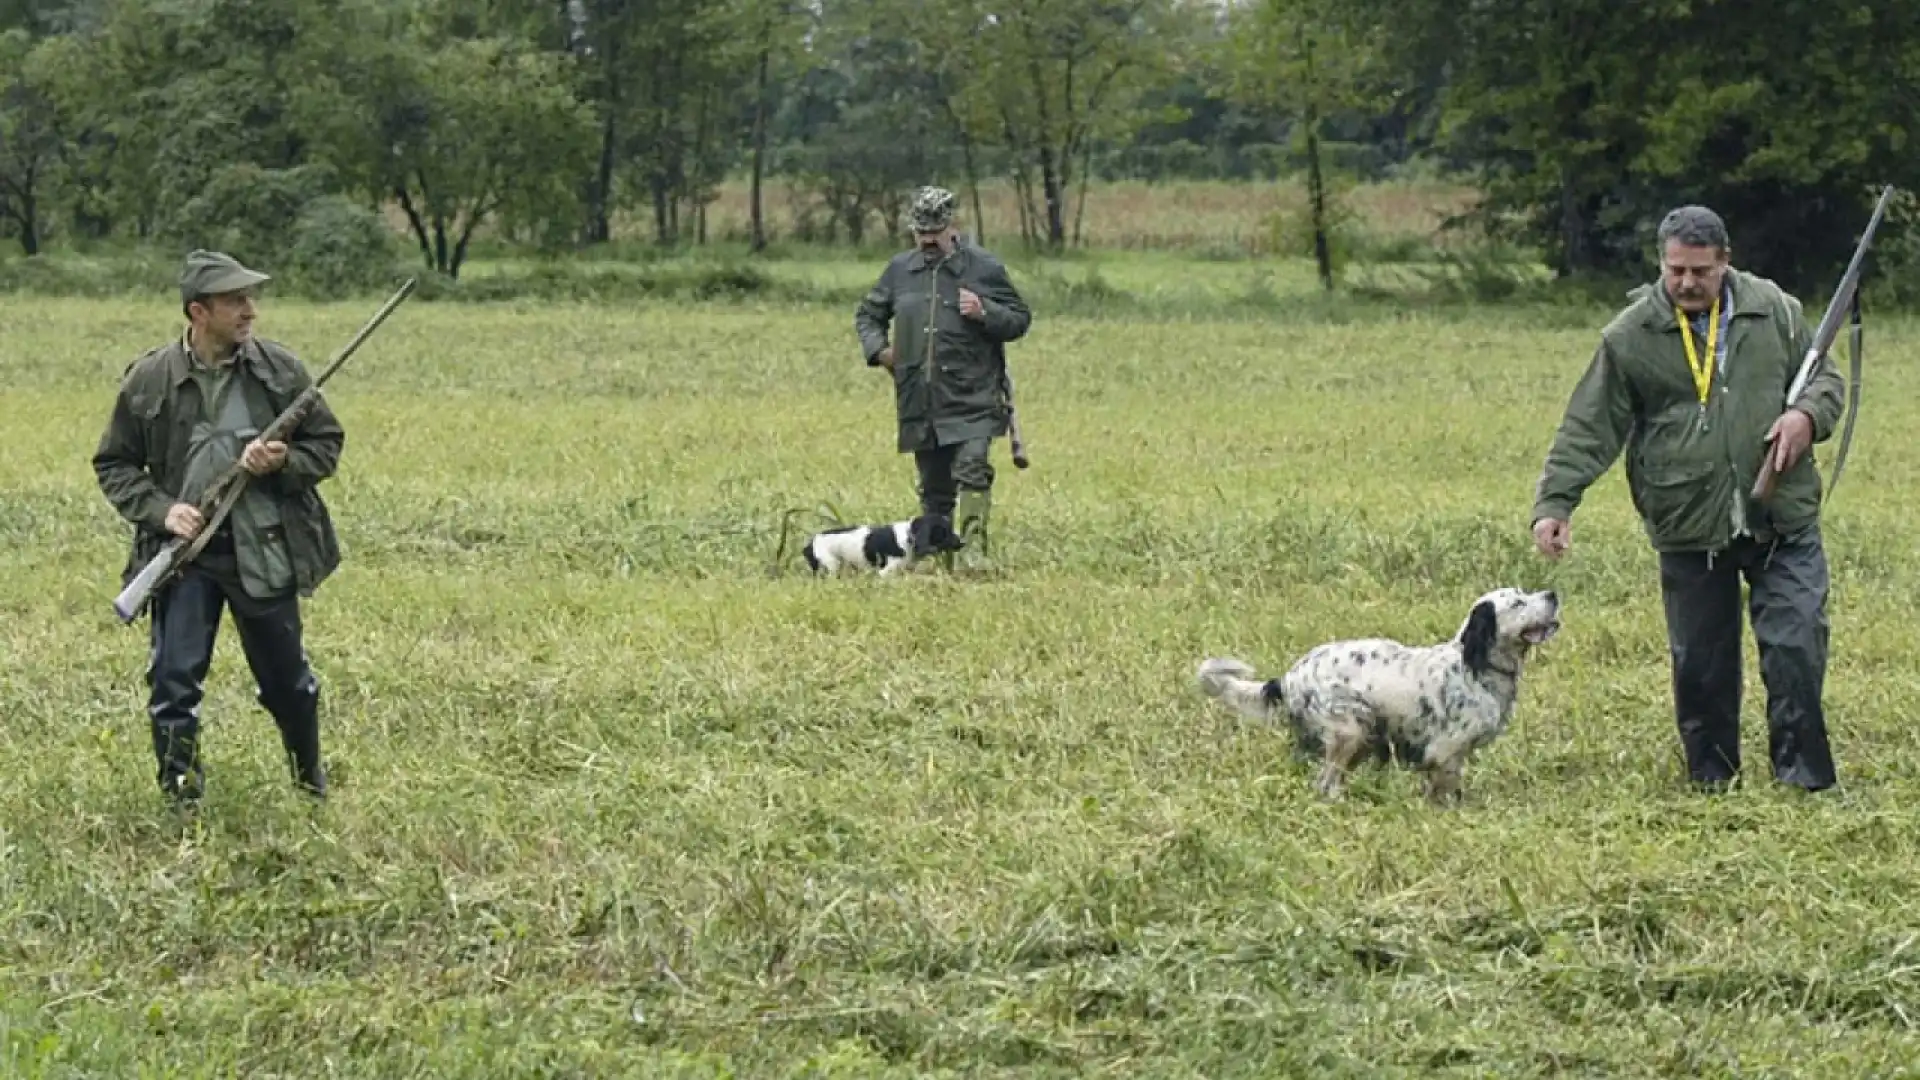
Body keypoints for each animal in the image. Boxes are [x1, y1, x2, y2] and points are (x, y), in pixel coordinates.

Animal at [806, 511, 967, 572]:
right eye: (944, 532)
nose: (963, 543)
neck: (909, 537)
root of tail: (810, 543)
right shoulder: (885, 572)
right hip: (830, 565)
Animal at [1198, 584, 1559, 803]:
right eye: (1518, 602)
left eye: (1524, 592)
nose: (1553, 594)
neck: (1475, 665)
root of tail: (1288, 678)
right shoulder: (1445, 751)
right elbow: (1445, 790)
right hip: (1350, 731)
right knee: (1326, 783)